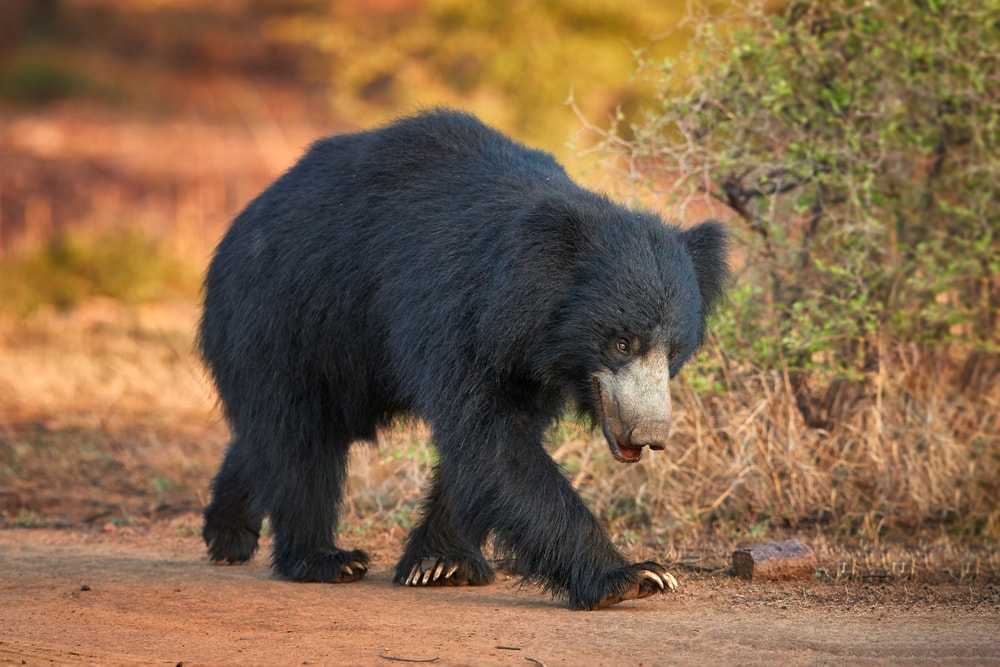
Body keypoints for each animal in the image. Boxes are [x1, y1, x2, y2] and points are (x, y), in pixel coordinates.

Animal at [199, 109, 727, 610]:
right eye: (622, 343)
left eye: (673, 352)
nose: (650, 434)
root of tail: (242, 219)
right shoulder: (450, 312)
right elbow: (490, 440)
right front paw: (635, 576)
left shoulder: (526, 362)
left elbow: (489, 447)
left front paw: (439, 563)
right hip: (283, 319)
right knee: (298, 438)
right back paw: (324, 558)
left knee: (272, 434)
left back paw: (227, 532)